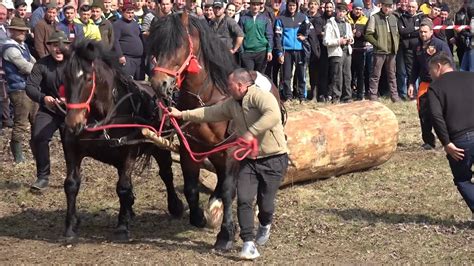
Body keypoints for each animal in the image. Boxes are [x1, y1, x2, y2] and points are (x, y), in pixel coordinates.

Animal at [61, 40, 183, 242]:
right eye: (65, 78)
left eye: (88, 78)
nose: (72, 123)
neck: (106, 113)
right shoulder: (72, 148)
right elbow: (71, 184)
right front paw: (70, 226)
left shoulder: (129, 151)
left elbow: (123, 187)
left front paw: (122, 227)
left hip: (161, 145)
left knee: (166, 173)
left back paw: (175, 206)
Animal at [148, 11, 284, 250]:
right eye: (156, 45)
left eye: (179, 44)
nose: (159, 83)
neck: (206, 99)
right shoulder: (190, 149)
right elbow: (191, 187)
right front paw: (199, 217)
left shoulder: (230, 152)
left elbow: (230, 190)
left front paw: (225, 234)